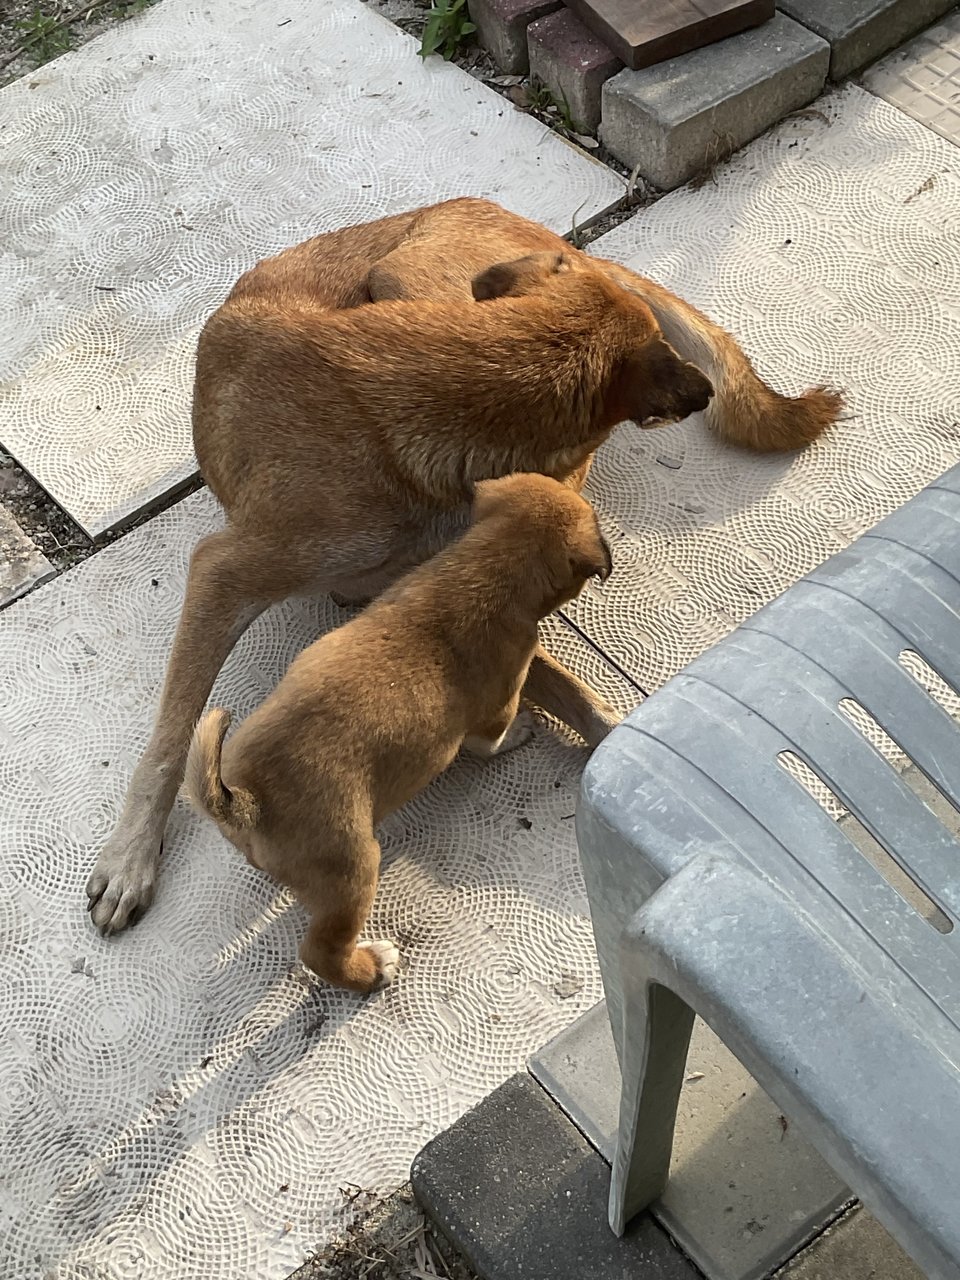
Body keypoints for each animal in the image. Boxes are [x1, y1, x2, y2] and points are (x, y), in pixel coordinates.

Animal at [184, 476, 611, 993]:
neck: (483, 564)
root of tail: (247, 801)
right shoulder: (497, 703)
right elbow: (490, 739)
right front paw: (519, 732)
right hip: (354, 871)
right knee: (319, 952)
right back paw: (371, 968)